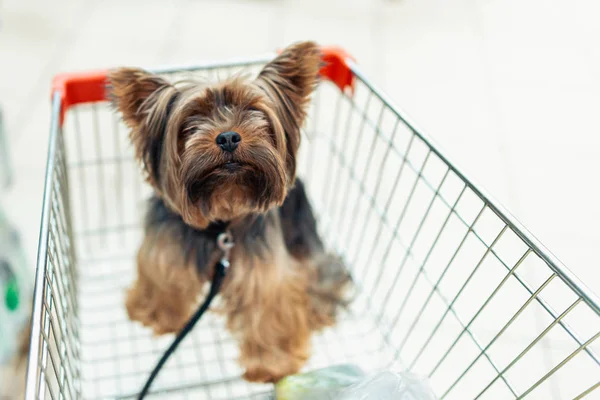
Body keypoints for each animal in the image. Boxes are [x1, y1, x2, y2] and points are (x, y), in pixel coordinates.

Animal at [109, 42, 352, 382]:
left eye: (254, 111)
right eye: (192, 119)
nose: (227, 136)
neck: (221, 219)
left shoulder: (265, 272)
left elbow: (268, 310)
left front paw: (272, 364)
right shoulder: (166, 243)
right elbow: (163, 274)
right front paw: (154, 313)